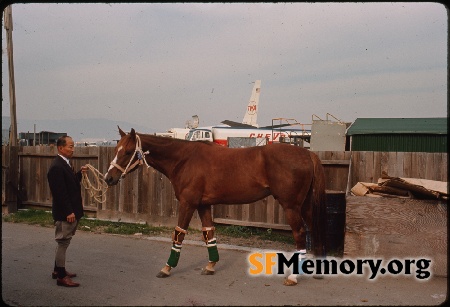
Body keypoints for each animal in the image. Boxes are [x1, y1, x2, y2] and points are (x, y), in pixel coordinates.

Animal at [103, 127, 326, 280]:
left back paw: (293, 277)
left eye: (128, 151)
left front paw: (166, 268)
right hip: (305, 205)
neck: (184, 159)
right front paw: (211, 266)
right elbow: (209, 233)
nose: (108, 178)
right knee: (314, 228)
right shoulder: (203, 205)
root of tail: (307, 153)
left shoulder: (188, 203)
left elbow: (178, 234)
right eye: (116, 149)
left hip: (291, 207)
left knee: (300, 233)